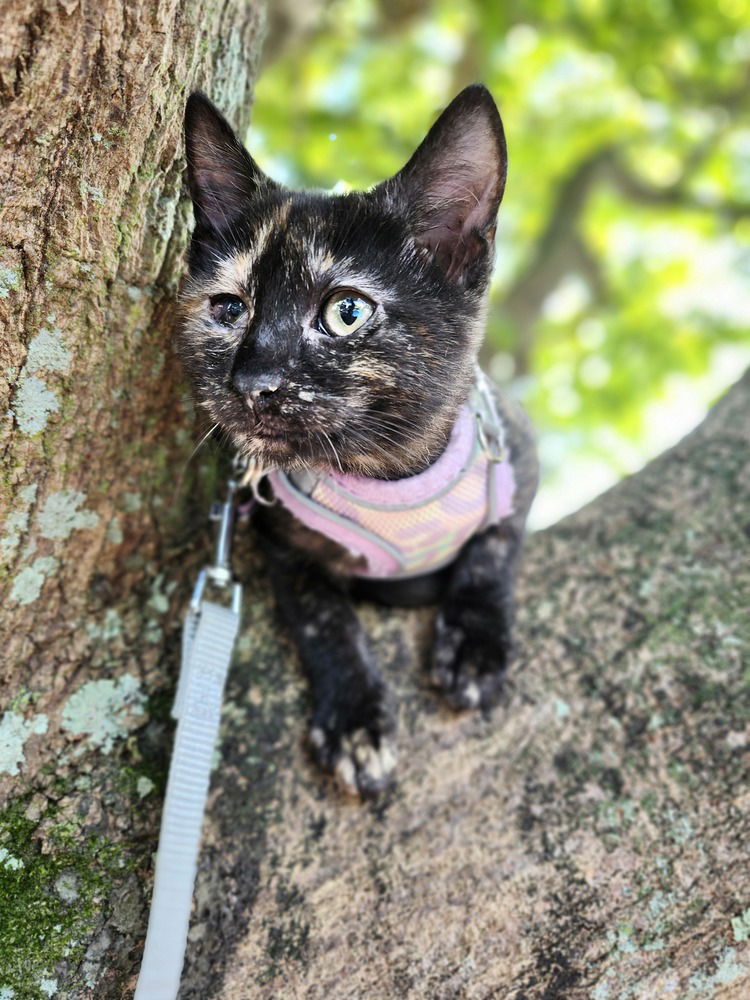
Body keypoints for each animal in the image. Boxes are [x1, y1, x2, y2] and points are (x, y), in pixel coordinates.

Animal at [179, 86, 536, 800]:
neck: (388, 472)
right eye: (229, 309)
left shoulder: (520, 451)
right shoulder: (281, 540)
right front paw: (354, 721)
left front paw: (474, 643)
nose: (252, 382)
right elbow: (325, 617)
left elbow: (493, 546)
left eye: (347, 312)